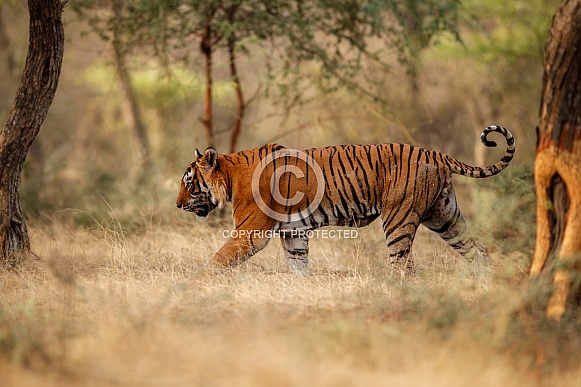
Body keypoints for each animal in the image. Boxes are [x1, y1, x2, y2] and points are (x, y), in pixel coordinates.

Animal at [174, 125, 516, 276]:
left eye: (189, 183)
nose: (177, 205)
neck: (231, 176)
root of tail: (434, 153)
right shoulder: (294, 233)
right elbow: (298, 265)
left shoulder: (250, 233)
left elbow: (217, 258)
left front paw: (194, 280)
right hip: (445, 217)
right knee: (477, 250)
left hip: (399, 218)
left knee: (403, 264)